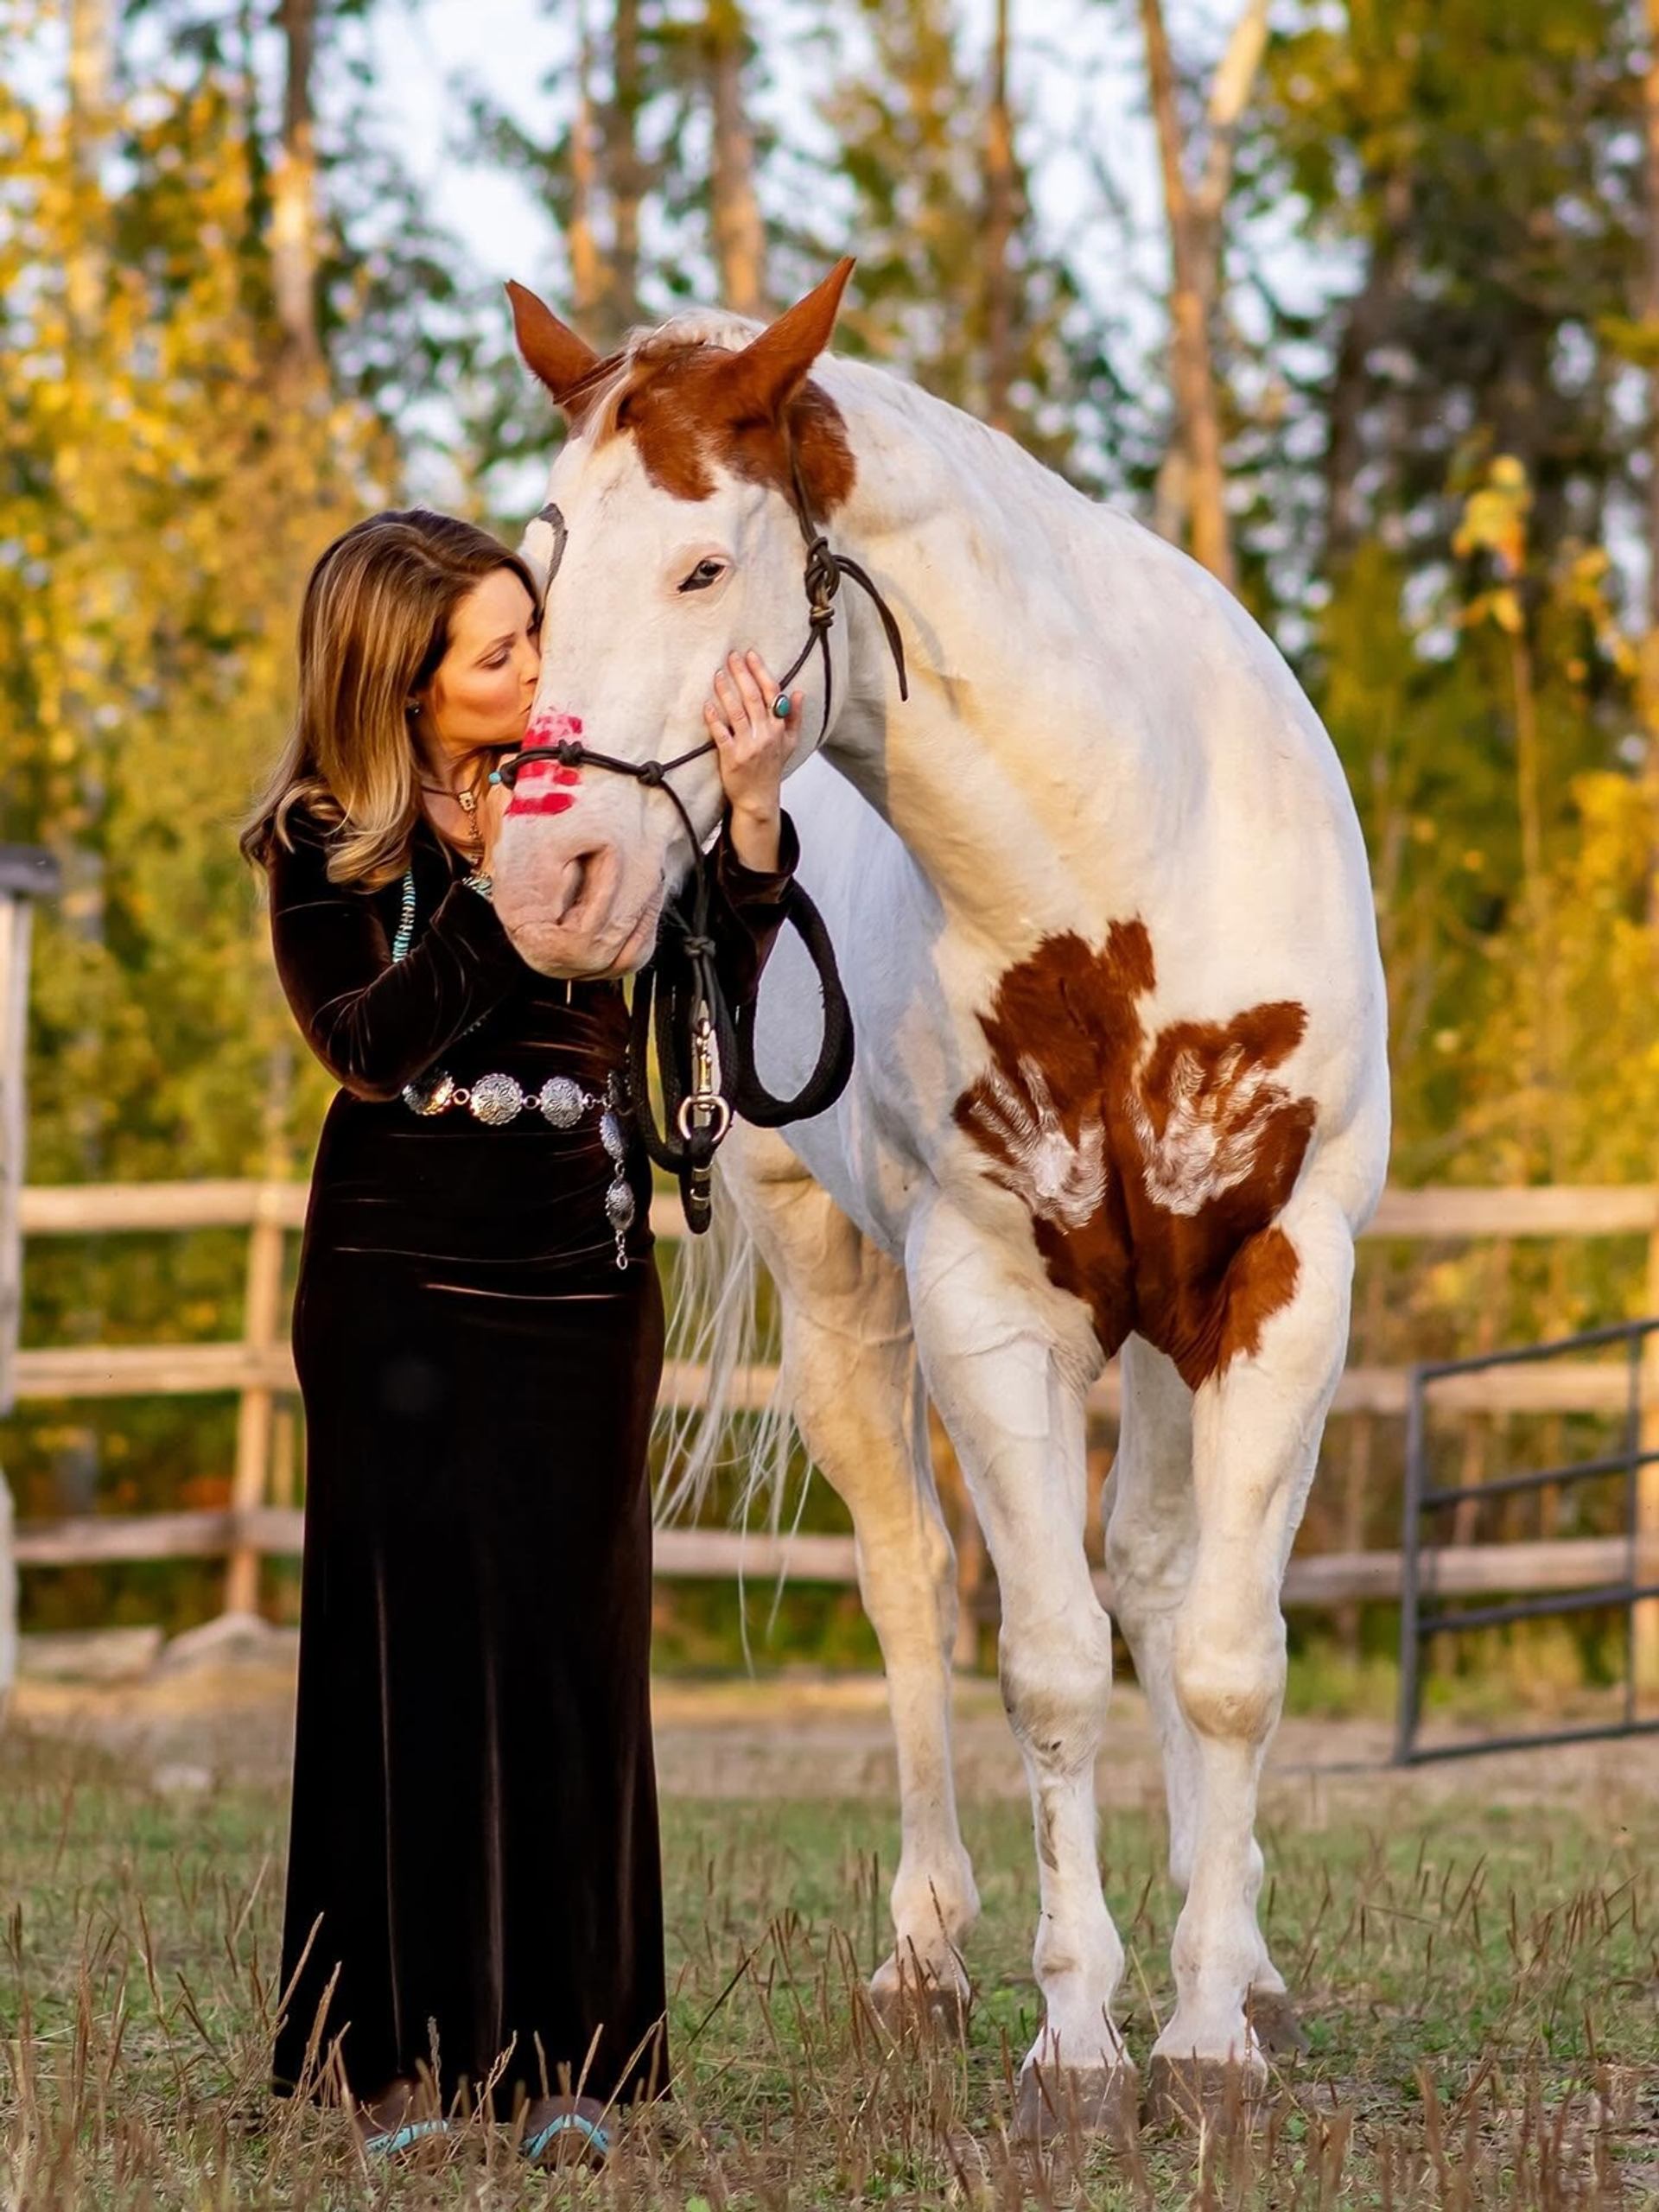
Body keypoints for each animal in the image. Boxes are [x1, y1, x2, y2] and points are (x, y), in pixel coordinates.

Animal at [487, 257, 1390, 2139]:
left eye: (701, 565)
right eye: (540, 566)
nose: (548, 875)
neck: (1121, 856)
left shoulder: (1276, 1277)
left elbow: (1220, 1653)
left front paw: (1213, 2026)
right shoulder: (983, 1295)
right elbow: (1042, 1657)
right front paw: (1078, 2041)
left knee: (1157, 1579)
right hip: (842, 1288)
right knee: (909, 1579)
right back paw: (923, 1960)